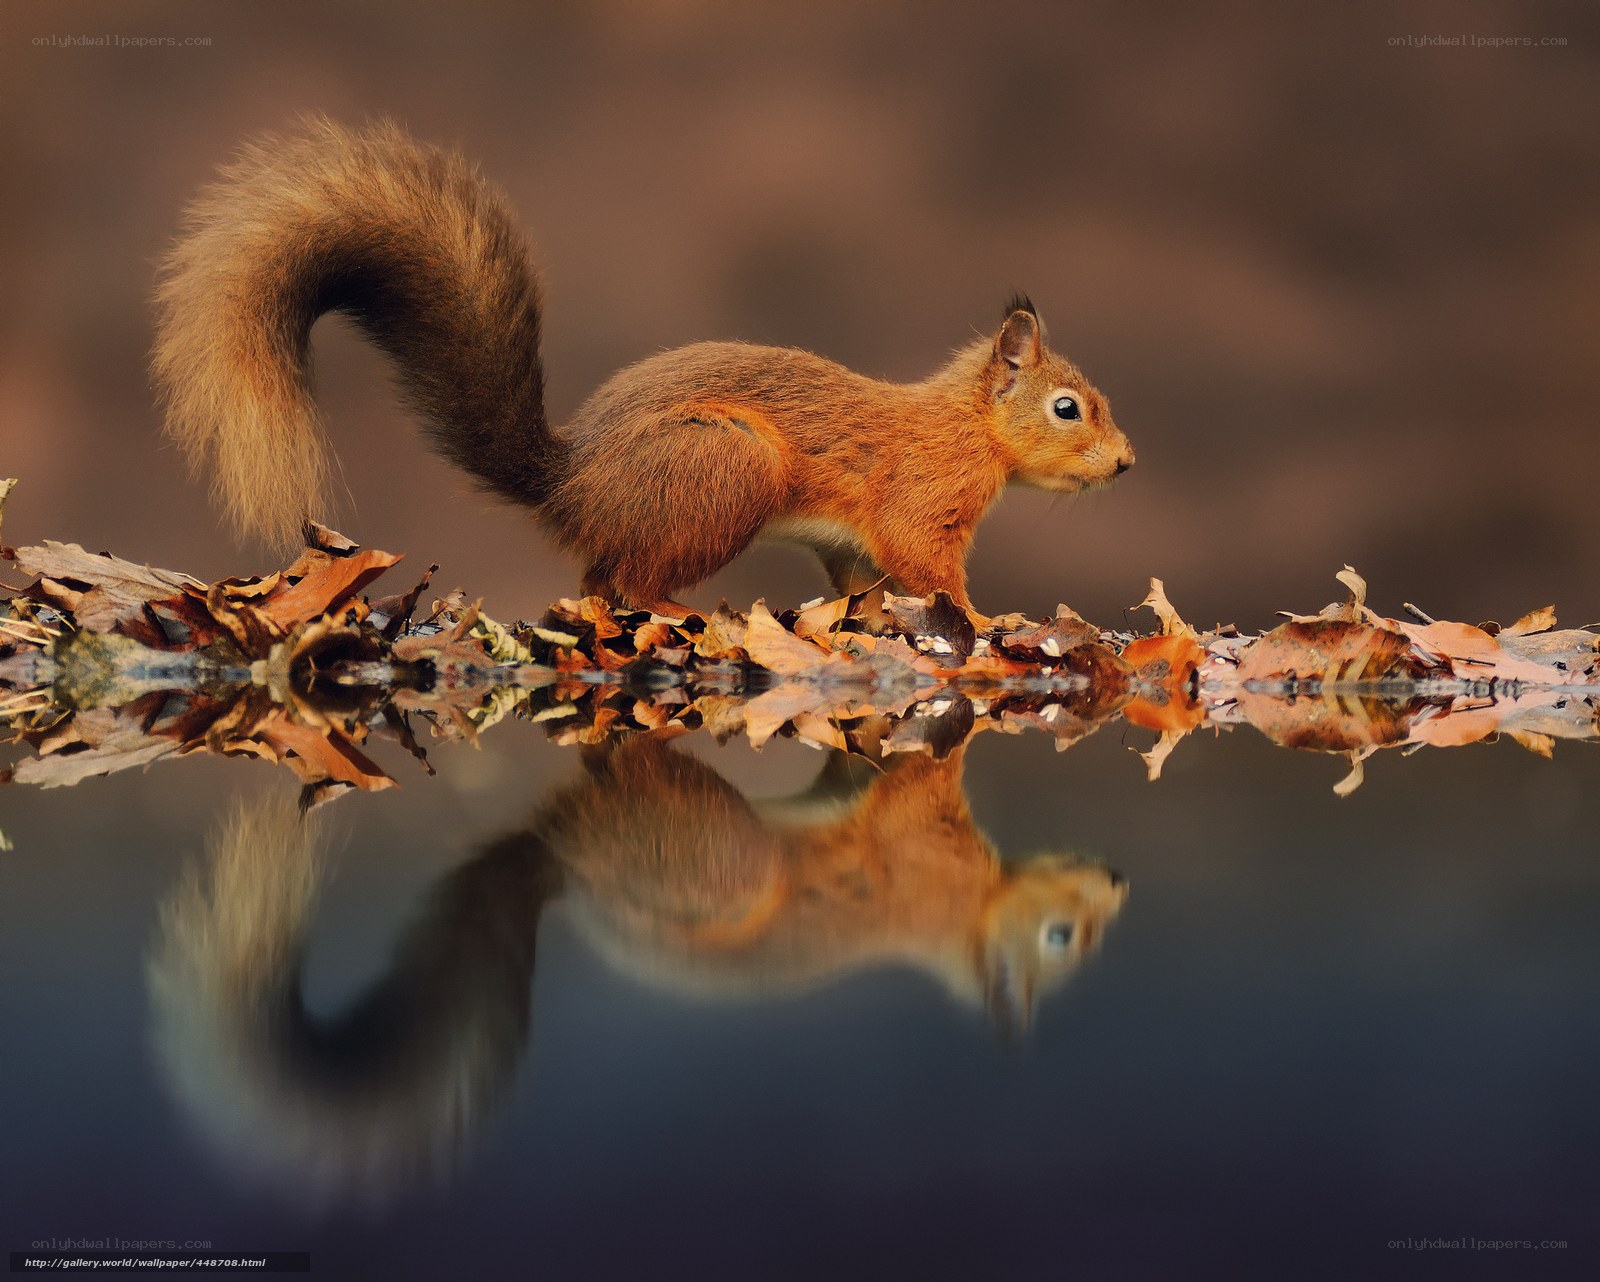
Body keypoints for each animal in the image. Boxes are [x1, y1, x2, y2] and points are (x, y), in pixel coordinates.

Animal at [152, 118, 1134, 618]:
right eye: (1068, 408)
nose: (1127, 464)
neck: (967, 427)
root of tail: (573, 482)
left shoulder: (852, 546)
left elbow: (866, 584)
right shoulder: (921, 503)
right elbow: (931, 570)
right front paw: (987, 624)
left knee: (599, 582)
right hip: (724, 469)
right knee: (632, 583)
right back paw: (678, 618)